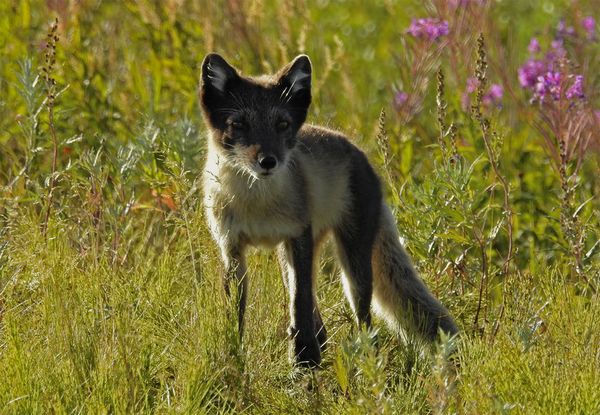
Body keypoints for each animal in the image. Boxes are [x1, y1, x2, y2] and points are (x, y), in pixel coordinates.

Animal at [202, 52, 460, 368]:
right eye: (238, 124)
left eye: (282, 124)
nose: (268, 161)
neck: (256, 204)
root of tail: (358, 152)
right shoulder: (231, 248)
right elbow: (236, 313)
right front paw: (234, 356)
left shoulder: (298, 235)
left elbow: (299, 303)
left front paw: (303, 360)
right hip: (290, 256)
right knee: (318, 315)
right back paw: (321, 347)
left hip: (351, 266)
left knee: (364, 323)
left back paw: (362, 361)